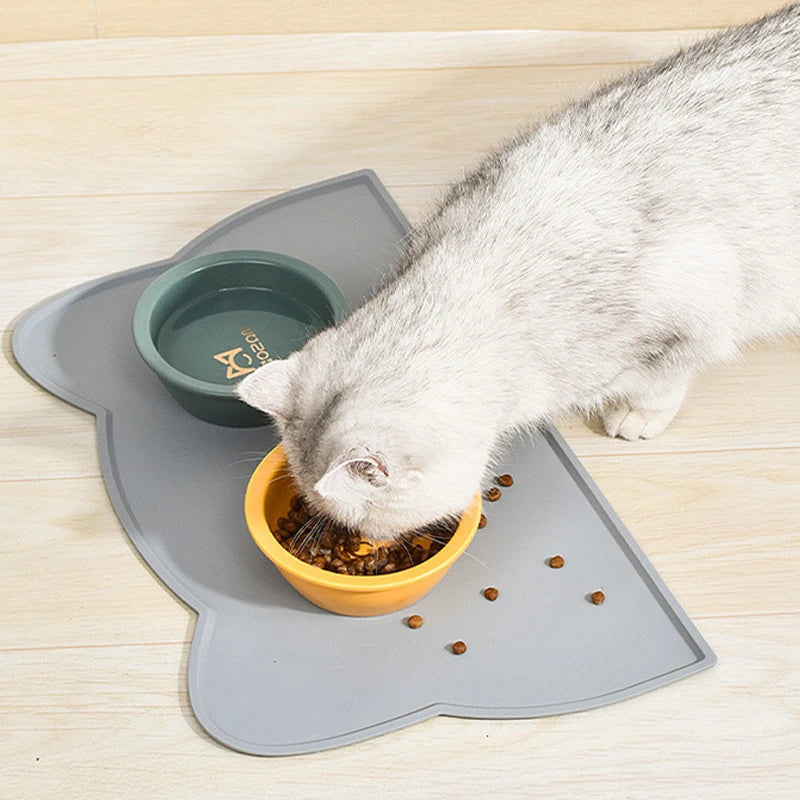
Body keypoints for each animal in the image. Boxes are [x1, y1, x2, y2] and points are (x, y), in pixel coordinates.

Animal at [238, 4, 800, 536]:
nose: (368, 544)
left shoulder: (693, 311)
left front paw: (637, 414)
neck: (479, 276)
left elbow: (662, 382)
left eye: (359, 523)